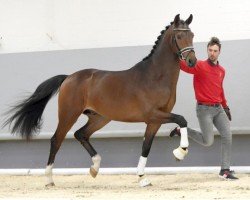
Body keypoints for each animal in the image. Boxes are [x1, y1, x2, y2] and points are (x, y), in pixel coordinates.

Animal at [2, 14, 196, 188]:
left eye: (192, 35)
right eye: (179, 36)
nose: (192, 61)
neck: (155, 76)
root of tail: (68, 78)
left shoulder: (154, 121)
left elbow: (146, 147)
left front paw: (142, 178)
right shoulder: (154, 115)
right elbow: (182, 119)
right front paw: (180, 152)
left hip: (100, 118)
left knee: (81, 134)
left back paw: (94, 168)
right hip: (68, 115)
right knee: (56, 139)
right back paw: (49, 180)